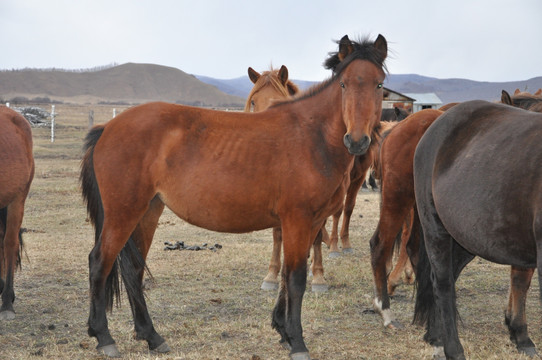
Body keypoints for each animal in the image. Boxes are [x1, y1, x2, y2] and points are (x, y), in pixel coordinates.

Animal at [81, 34, 388, 360]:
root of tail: (107, 127)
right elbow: (295, 278)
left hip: (147, 212)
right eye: (343, 84)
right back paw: (104, 337)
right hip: (123, 213)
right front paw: (296, 341)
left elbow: (287, 273)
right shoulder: (297, 220)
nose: (357, 141)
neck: (312, 136)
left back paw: (151, 336)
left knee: (133, 269)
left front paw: (281, 329)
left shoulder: (311, 223)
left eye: (379, 84)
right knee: (99, 262)